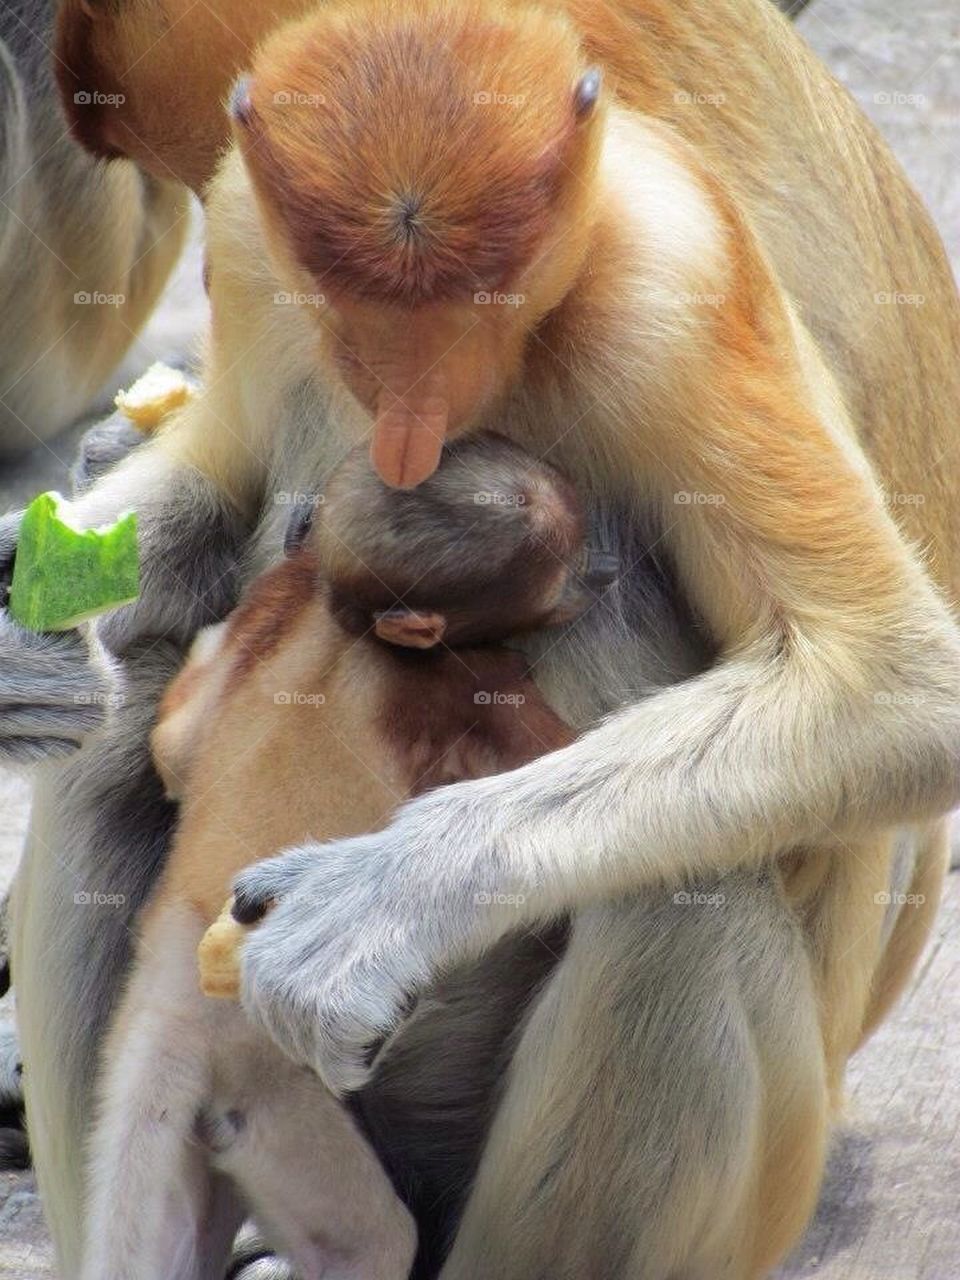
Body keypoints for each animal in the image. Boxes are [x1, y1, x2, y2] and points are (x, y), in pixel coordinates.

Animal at [2, 1, 958, 1276]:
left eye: (474, 302)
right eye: (355, 310)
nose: (409, 425)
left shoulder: (675, 283)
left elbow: (892, 683)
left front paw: (368, 907)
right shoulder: (256, 241)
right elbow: (217, 478)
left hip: (756, 1186)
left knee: (682, 900)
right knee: (106, 743)